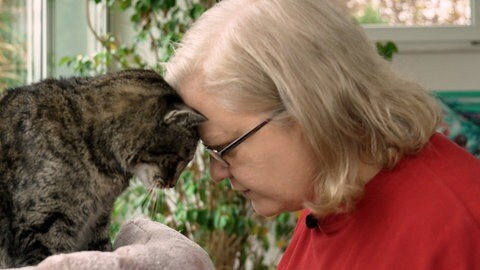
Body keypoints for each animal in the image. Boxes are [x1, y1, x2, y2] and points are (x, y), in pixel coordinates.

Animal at [0, 68, 204, 266]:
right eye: (180, 158)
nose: (172, 184)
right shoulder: (43, 221)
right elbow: (50, 256)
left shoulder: (99, 219)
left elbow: (102, 250)